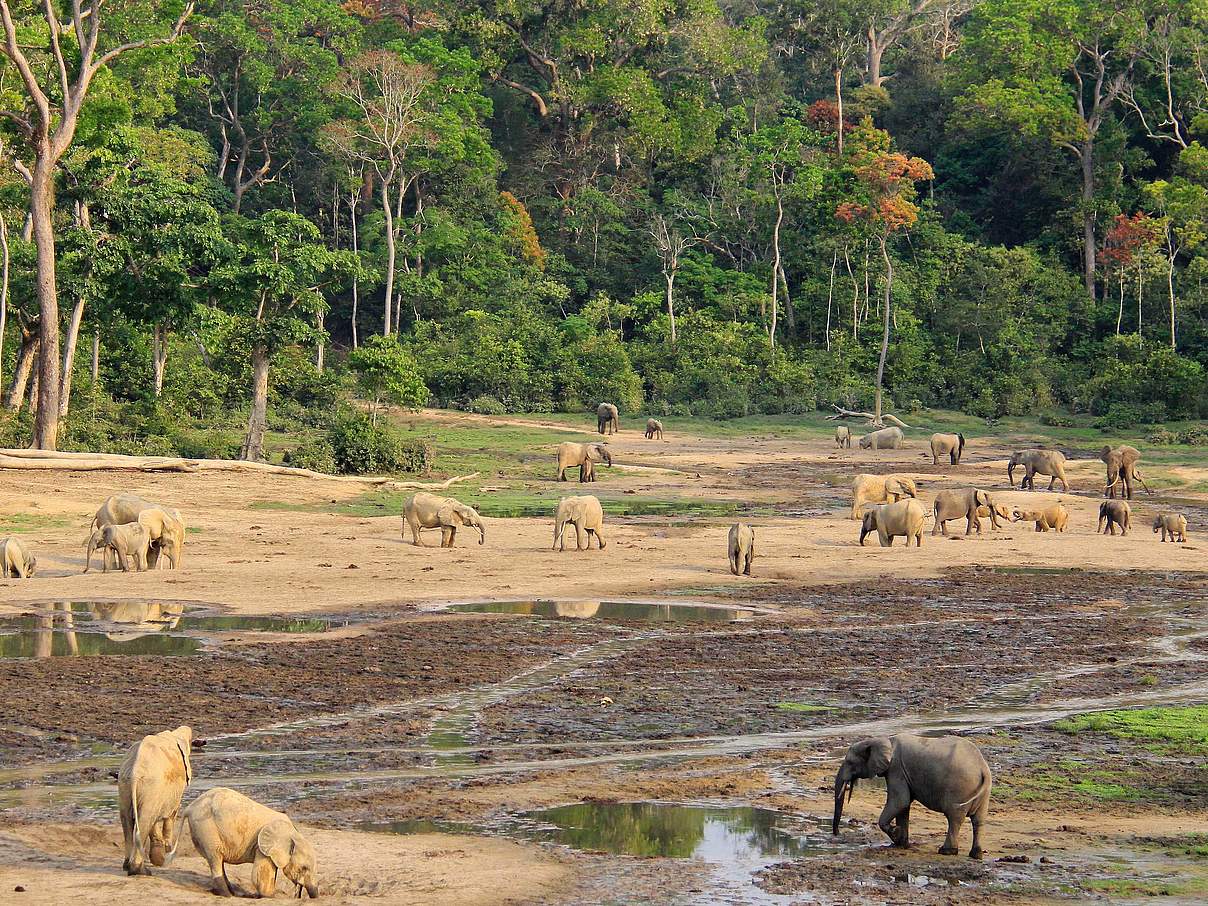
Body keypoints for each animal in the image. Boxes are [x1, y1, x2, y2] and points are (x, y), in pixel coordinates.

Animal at [118, 729, 194, 874]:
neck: (175, 733)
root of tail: (135, 772)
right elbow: (171, 814)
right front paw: (164, 856)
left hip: (124, 784)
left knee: (127, 819)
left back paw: (126, 866)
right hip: (150, 785)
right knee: (145, 818)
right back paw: (140, 870)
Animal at [179, 787, 321, 903]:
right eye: (303, 868)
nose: (298, 896)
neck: (292, 832)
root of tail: (189, 807)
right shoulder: (261, 846)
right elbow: (259, 875)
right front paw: (270, 897)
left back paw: (231, 893)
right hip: (207, 830)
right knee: (215, 858)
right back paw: (228, 896)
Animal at [831, 734, 990, 860]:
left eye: (850, 762)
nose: (837, 834)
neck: (884, 740)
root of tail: (982, 768)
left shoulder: (896, 769)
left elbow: (900, 801)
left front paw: (896, 835)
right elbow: (903, 805)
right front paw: (901, 844)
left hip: (958, 787)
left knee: (954, 818)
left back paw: (947, 851)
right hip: (983, 792)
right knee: (979, 820)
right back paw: (976, 854)